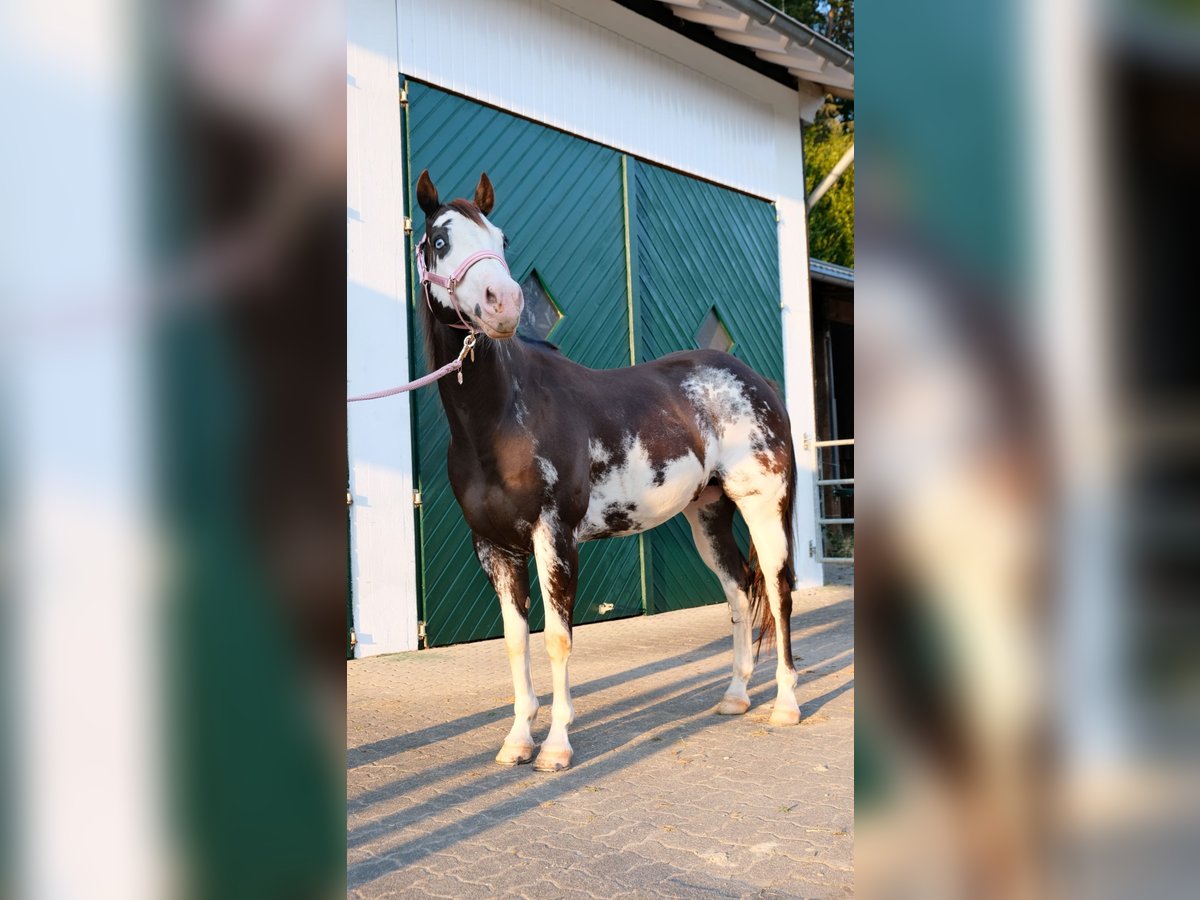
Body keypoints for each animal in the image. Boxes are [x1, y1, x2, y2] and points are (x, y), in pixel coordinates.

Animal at [417, 170, 801, 777]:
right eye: (438, 241)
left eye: (501, 239)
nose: (505, 304)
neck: (501, 419)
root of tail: (755, 380)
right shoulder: (494, 548)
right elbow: (514, 642)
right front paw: (516, 742)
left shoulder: (555, 538)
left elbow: (557, 639)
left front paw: (555, 747)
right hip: (709, 513)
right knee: (739, 592)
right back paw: (735, 697)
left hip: (764, 503)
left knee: (779, 590)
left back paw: (785, 705)